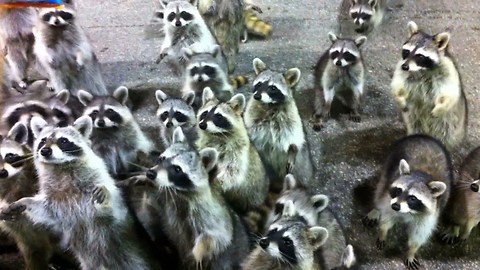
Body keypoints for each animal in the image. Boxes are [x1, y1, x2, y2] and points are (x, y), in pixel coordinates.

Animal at [0, 115, 162, 270]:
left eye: (63, 140)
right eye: (43, 141)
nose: (45, 151)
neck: (61, 167)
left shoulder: (98, 180)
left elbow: (114, 205)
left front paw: (107, 194)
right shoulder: (55, 197)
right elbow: (47, 209)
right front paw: (26, 202)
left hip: (130, 253)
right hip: (89, 260)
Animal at [141, 127, 249, 270]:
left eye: (177, 169)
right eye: (162, 159)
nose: (151, 173)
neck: (178, 193)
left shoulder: (208, 212)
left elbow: (217, 236)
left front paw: (197, 252)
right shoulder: (165, 201)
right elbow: (153, 209)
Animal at [244, 57, 316, 192]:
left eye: (273, 88)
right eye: (259, 84)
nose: (257, 96)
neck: (269, 105)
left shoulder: (291, 116)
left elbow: (294, 136)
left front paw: (293, 148)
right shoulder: (252, 116)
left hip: (303, 167)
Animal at [364, 135, 454, 270]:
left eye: (413, 198)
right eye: (398, 190)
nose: (395, 206)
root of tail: (423, 136)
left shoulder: (430, 214)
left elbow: (419, 233)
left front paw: (412, 251)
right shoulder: (389, 200)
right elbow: (386, 217)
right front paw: (383, 232)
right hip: (390, 163)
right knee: (380, 189)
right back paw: (375, 209)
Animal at [392, 21, 466, 150]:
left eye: (420, 56)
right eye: (406, 51)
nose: (405, 67)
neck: (423, 69)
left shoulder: (448, 70)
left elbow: (449, 93)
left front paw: (441, 106)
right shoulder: (401, 65)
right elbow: (398, 84)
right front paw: (399, 98)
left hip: (451, 122)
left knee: (445, 133)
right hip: (415, 117)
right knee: (416, 126)